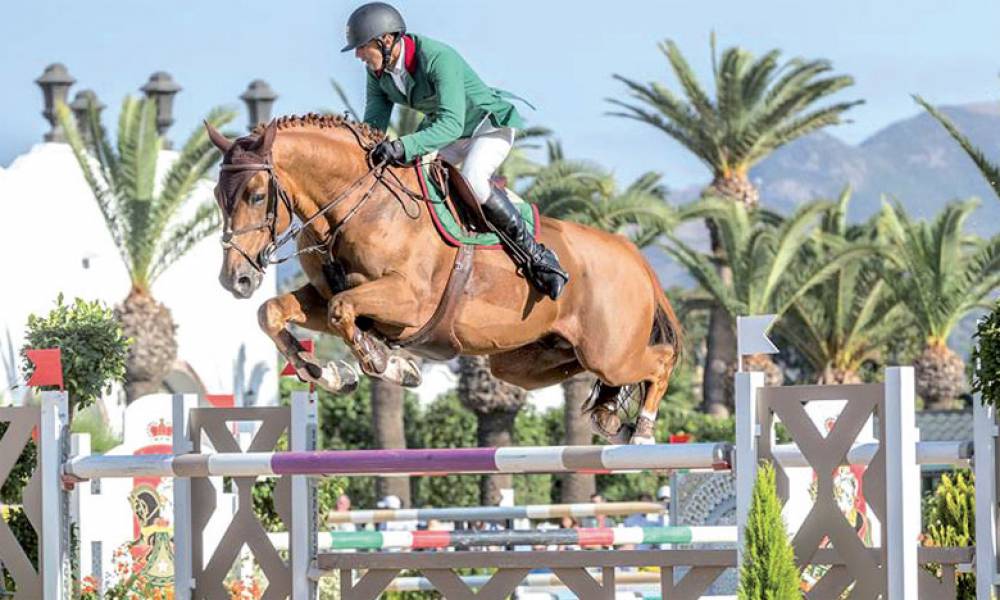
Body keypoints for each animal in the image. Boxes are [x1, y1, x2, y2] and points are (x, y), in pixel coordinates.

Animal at [207, 112, 684, 442]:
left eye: (256, 195)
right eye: (216, 195)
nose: (235, 280)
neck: (361, 206)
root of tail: (631, 253)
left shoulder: (407, 302)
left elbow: (347, 314)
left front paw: (390, 365)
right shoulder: (325, 297)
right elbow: (273, 312)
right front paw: (327, 373)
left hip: (610, 352)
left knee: (659, 361)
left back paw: (642, 430)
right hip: (528, 361)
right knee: (596, 373)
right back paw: (609, 413)